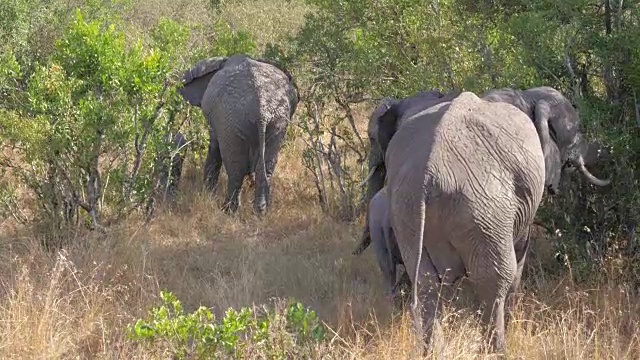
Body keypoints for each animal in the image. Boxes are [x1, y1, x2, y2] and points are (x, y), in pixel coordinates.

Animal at [178, 54, 300, 214]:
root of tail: (261, 112)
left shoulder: (218, 119)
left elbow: (214, 148)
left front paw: (208, 194)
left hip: (232, 120)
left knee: (236, 170)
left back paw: (228, 211)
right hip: (278, 122)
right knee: (266, 168)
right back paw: (260, 212)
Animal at [378, 90, 548, 354]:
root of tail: (429, 173)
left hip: (405, 210)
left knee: (426, 282)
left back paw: (433, 352)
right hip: (485, 210)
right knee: (494, 280)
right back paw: (497, 351)